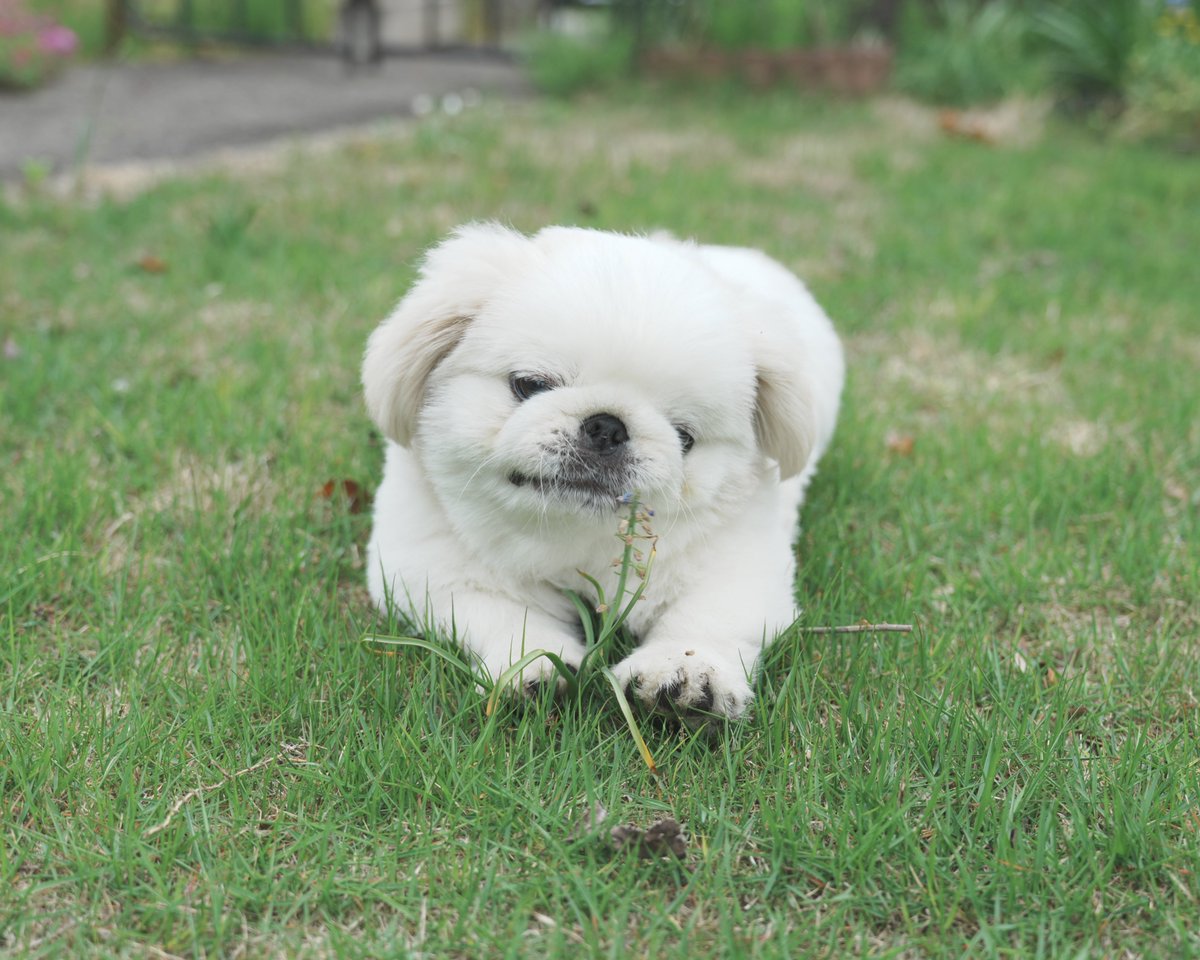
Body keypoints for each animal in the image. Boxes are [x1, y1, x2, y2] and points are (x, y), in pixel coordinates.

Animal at [364, 225, 844, 720]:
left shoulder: (741, 567)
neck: (575, 538)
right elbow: (501, 611)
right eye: (530, 385)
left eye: (684, 436)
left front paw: (686, 672)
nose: (608, 426)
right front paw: (533, 663)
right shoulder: (429, 568)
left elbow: (705, 621)